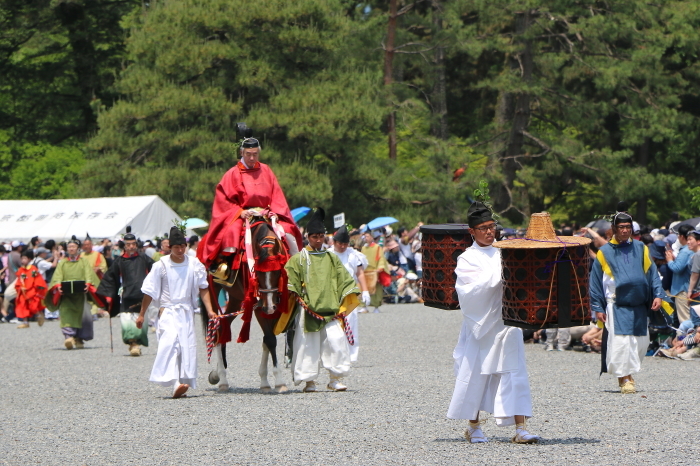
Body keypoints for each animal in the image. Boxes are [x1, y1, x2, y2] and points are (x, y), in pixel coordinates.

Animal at [202, 218, 292, 394]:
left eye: (278, 271)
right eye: (257, 272)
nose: (269, 307)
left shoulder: (276, 304)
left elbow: (266, 340)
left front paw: (264, 381)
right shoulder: (258, 305)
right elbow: (270, 340)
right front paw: (279, 381)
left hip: (235, 298)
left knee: (223, 327)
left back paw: (217, 374)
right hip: (212, 292)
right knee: (216, 329)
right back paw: (222, 379)